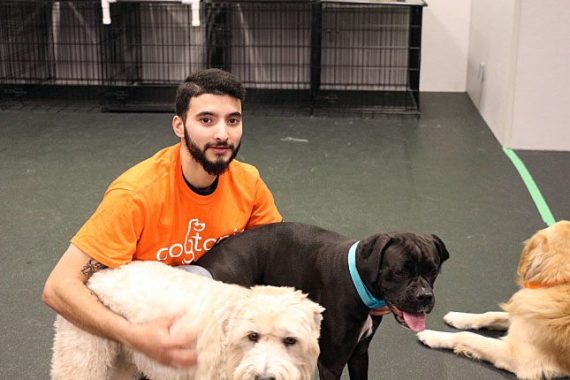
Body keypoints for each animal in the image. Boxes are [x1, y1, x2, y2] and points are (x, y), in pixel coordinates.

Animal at [50, 262, 324, 380]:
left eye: (290, 340)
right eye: (252, 336)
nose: (264, 378)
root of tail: (95, 277)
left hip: (123, 363)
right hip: (81, 359)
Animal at [196, 221, 448, 378]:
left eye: (433, 270)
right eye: (400, 271)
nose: (424, 296)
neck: (358, 280)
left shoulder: (359, 354)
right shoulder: (330, 364)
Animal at [418, 221, 568, 378]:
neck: (557, 283)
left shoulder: (518, 356)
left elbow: (466, 336)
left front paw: (432, 335)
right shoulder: (521, 317)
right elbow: (490, 315)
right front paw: (458, 317)